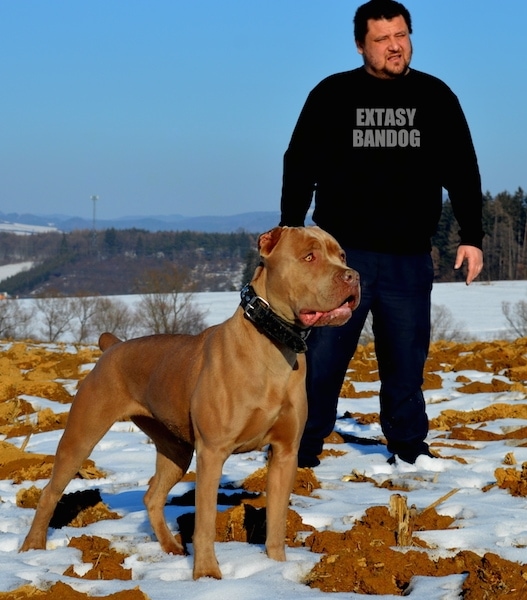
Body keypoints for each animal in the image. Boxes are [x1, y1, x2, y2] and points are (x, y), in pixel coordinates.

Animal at [19, 224, 358, 576]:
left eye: (342, 255)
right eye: (309, 256)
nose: (353, 276)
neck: (273, 344)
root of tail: (113, 346)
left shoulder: (285, 453)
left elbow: (276, 521)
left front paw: (276, 569)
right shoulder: (212, 452)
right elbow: (205, 522)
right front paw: (207, 574)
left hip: (176, 449)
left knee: (153, 496)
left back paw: (172, 548)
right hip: (82, 435)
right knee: (50, 491)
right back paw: (33, 546)